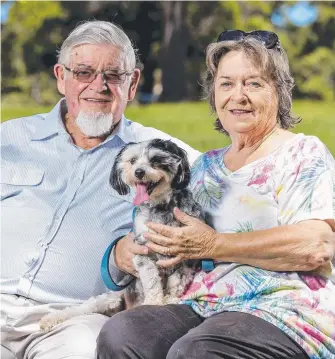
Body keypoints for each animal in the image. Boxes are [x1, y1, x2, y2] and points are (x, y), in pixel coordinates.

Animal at [39, 139, 202, 334]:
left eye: (156, 160)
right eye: (132, 161)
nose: (139, 172)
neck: (161, 208)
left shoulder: (184, 257)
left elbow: (176, 282)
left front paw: (169, 299)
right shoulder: (142, 251)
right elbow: (152, 281)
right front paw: (154, 302)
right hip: (110, 296)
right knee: (83, 307)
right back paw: (52, 318)